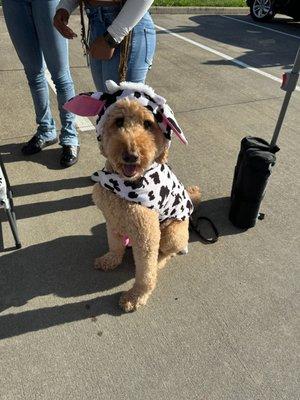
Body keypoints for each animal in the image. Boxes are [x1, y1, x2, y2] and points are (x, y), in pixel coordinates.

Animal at [63, 80, 199, 312]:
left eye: (148, 124)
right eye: (119, 122)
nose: (131, 156)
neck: (124, 185)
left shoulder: (147, 236)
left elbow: (145, 274)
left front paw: (135, 297)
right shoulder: (112, 219)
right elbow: (115, 244)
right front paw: (111, 259)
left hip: (174, 232)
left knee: (168, 252)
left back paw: (160, 261)